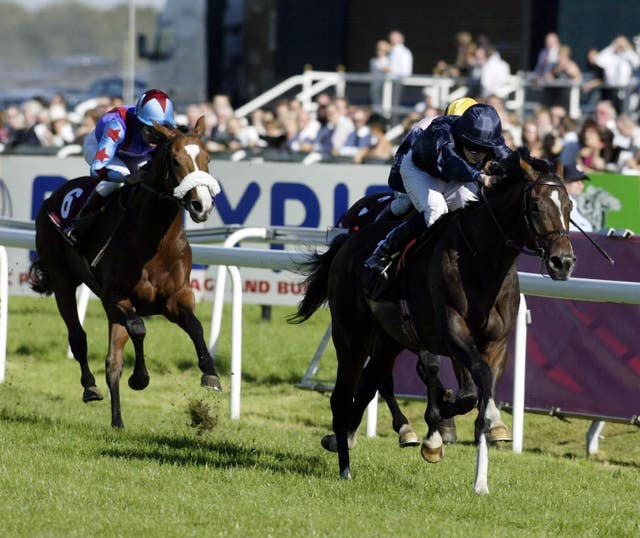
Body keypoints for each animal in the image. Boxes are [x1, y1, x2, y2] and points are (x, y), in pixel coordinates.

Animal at [28, 116, 221, 428]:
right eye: (175, 160)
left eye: (208, 158)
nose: (201, 205)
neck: (154, 241)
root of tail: (53, 196)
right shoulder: (115, 296)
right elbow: (139, 329)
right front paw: (140, 378)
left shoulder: (175, 298)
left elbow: (195, 327)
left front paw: (210, 373)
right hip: (62, 282)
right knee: (78, 338)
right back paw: (90, 387)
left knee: (112, 362)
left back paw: (117, 421)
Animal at [290, 150, 576, 490]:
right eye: (534, 206)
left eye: (569, 206)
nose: (563, 262)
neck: (481, 261)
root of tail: (345, 244)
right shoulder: (451, 330)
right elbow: (467, 385)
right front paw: (442, 431)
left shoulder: (495, 342)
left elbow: (478, 390)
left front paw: (481, 476)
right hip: (351, 334)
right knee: (342, 397)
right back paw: (345, 467)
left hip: (388, 339)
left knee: (370, 384)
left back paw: (348, 437)